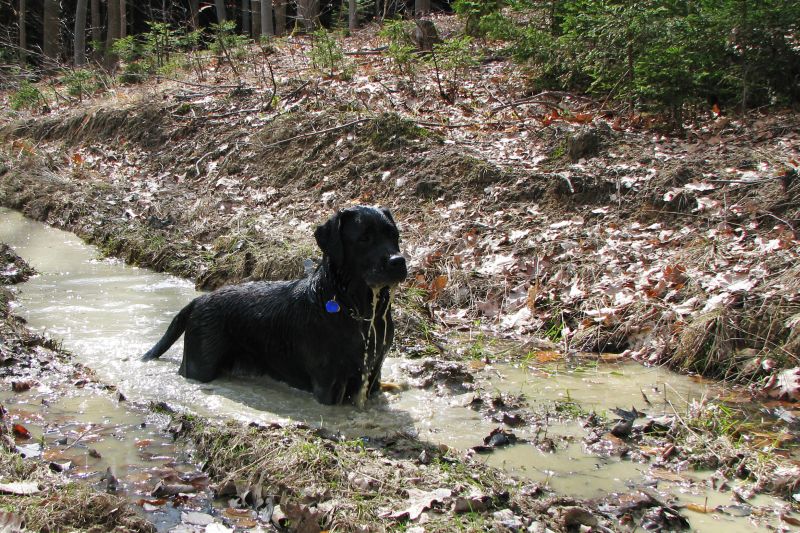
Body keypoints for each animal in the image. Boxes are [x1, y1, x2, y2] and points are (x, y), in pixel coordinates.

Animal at [139, 206, 406, 406]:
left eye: (393, 235)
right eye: (364, 238)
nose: (398, 261)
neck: (355, 308)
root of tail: (198, 300)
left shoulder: (374, 372)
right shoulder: (328, 383)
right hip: (198, 365)